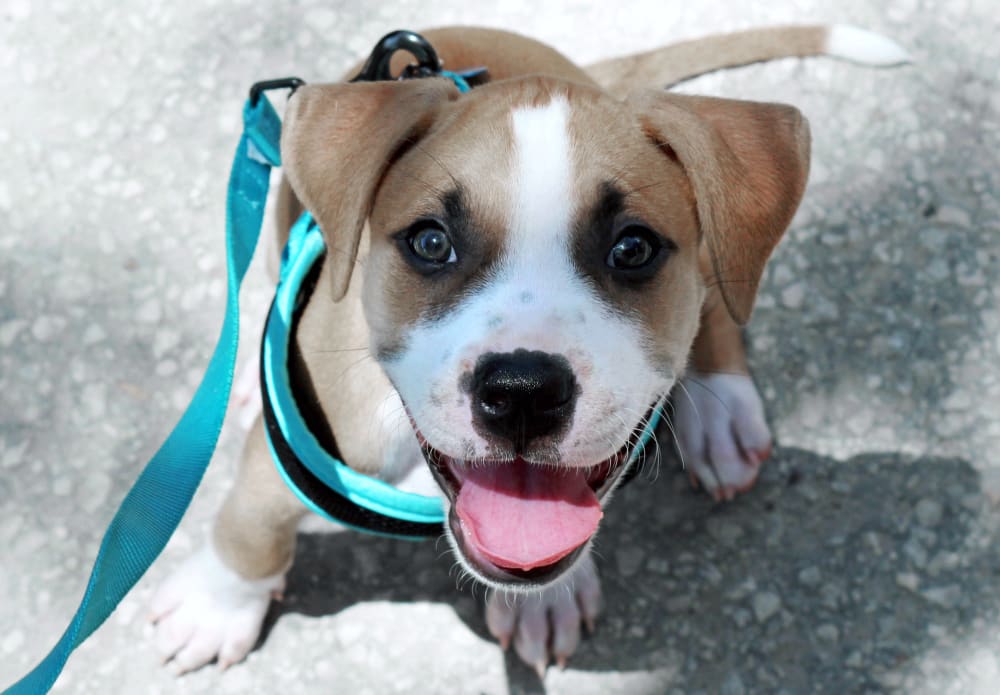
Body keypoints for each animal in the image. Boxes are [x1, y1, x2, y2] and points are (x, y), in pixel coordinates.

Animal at [146, 24, 908, 676]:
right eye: (430, 242)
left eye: (632, 249)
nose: (521, 391)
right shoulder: (288, 453)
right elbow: (251, 521)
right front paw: (217, 604)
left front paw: (547, 603)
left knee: (724, 299)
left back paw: (721, 415)